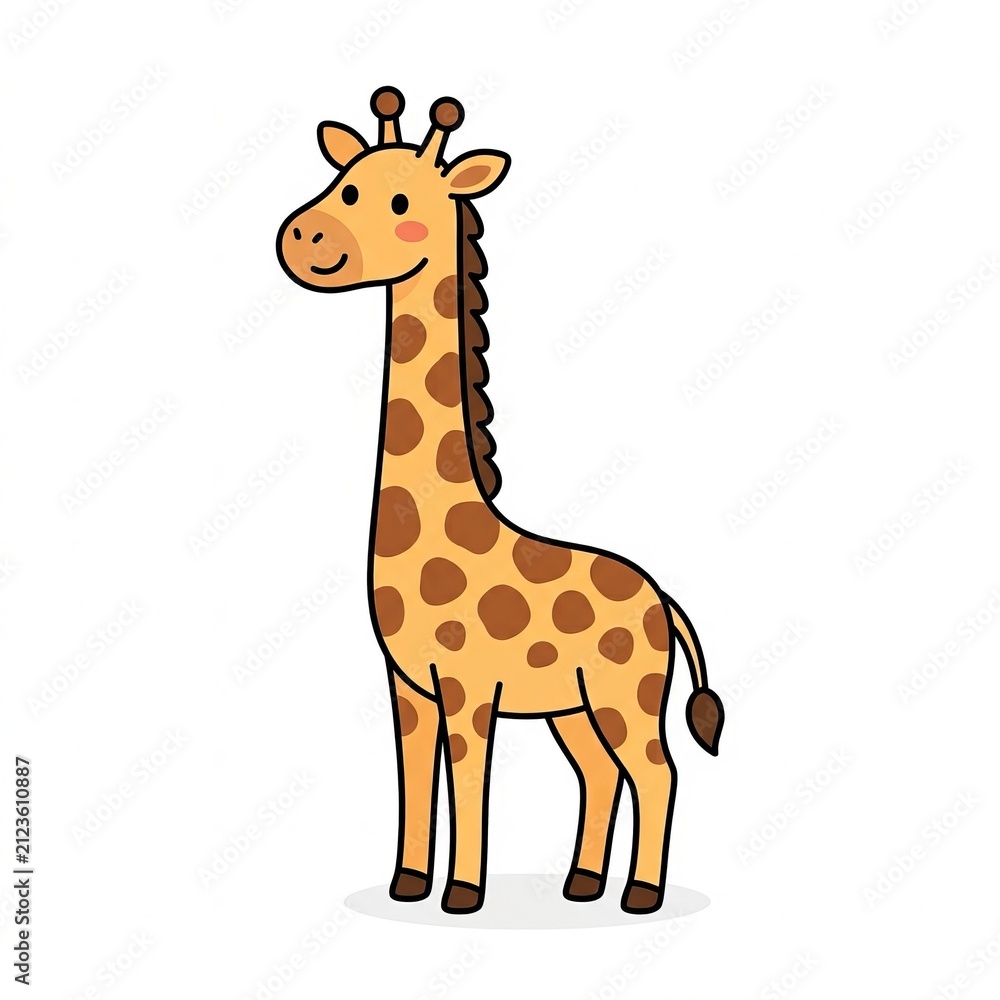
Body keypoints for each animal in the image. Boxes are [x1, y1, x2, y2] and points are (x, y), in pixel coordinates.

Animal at [276, 87, 724, 915]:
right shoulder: (408, 685)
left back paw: (640, 894)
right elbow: (415, 779)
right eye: (344, 183)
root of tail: (662, 600)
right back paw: (581, 884)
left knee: (656, 769)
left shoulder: (468, 685)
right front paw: (408, 884)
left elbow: (469, 782)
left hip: (624, 694)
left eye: (400, 201)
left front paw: (462, 893)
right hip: (573, 707)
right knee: (600, 771)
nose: (303, 238)